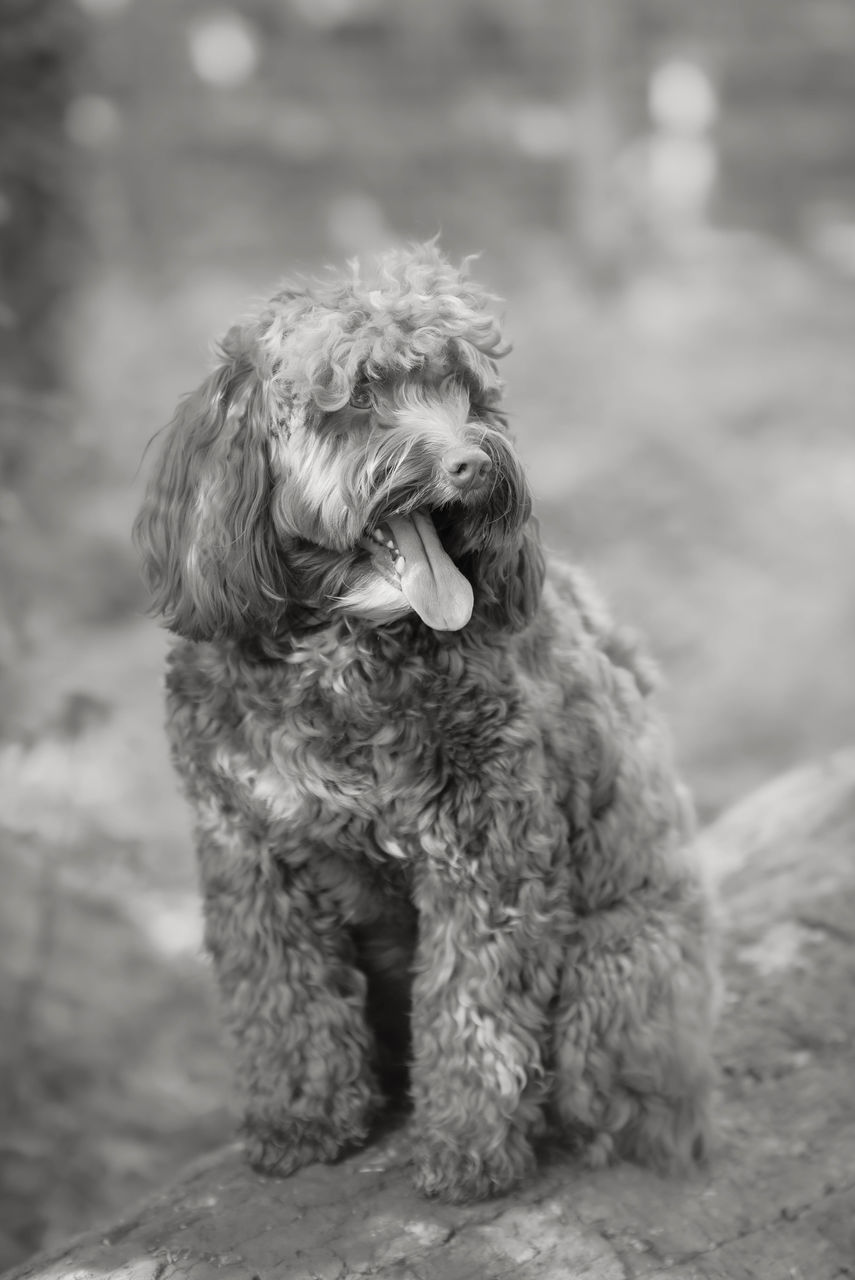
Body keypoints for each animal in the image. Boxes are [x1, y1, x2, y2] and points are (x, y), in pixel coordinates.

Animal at [133, 241, 716, 1198]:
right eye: (361, 395)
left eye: (465, 395)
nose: (472, 464)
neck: (341, 650)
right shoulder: (246, 850)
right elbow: (280, 995)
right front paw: (301, 1116)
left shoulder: (488, 852)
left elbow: (473, 1005)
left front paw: (468, 1145)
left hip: (615, 968)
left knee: (620, 1094)